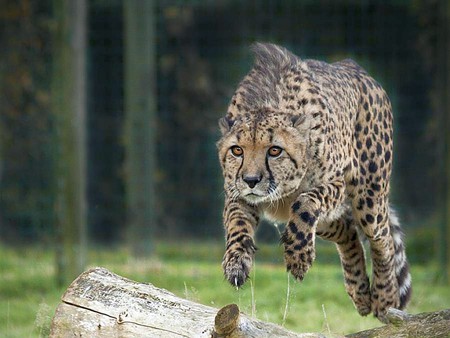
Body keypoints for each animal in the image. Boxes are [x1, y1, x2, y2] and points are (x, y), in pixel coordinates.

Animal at [218, 43, 412, 322]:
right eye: (237, 150)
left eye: (274, 150)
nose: (251, 180)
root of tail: (352, 65)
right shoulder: (238, 196)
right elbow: (237, 225)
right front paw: (236, 262)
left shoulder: (335, 183)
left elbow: (306, 200)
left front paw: (298, 256)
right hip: (327, 222)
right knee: (348, 230)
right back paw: (359, 291)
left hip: (368, 199)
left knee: (381, 240)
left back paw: (385, 298)